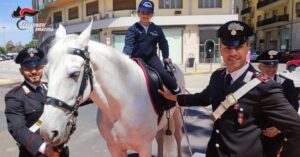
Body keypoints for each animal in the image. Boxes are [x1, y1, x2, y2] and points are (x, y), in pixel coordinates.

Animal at [39, 22, 185, 157]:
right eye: (45, 75)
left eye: (74, 74)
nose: (47, 131)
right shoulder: (114, 147)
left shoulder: (145, 147)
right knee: (160, 138)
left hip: (178, 115)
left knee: (178, 136)